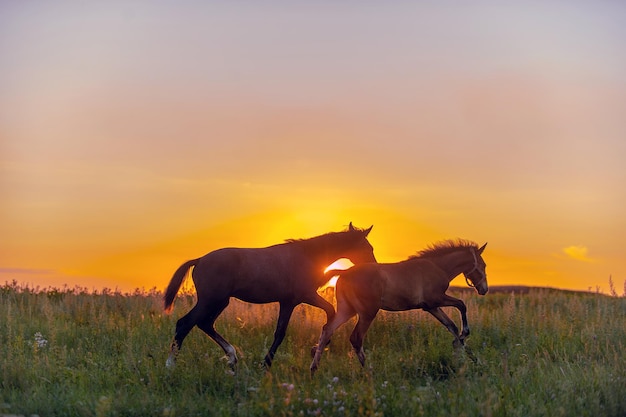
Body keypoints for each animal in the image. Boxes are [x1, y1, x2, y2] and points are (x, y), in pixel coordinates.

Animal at [163, 223, 372, 368]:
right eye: (369, 248)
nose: (373, 264)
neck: (308, 255)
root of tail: (199, 260)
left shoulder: (288, 302)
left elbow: (281, 331)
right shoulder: (301, 297)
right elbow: (327, 311)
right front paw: (268, 362)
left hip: (220, 302)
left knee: (204, 324)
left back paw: (232, 357)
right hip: (210, 301)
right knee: (185, 324)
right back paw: (170, 365)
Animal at [310, 237, 486, 374]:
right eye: (483, 265)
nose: (484, 289)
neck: (437, 267)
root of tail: (344, 273)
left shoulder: (431, 307)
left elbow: (451, 326)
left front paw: (469, 356)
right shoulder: (436, 299)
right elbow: (461, 306)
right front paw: (464, 338)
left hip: (347, 310)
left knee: (327, 330)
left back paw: (313, 370)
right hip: (367, 313)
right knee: (356, 338)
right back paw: (369, 373)